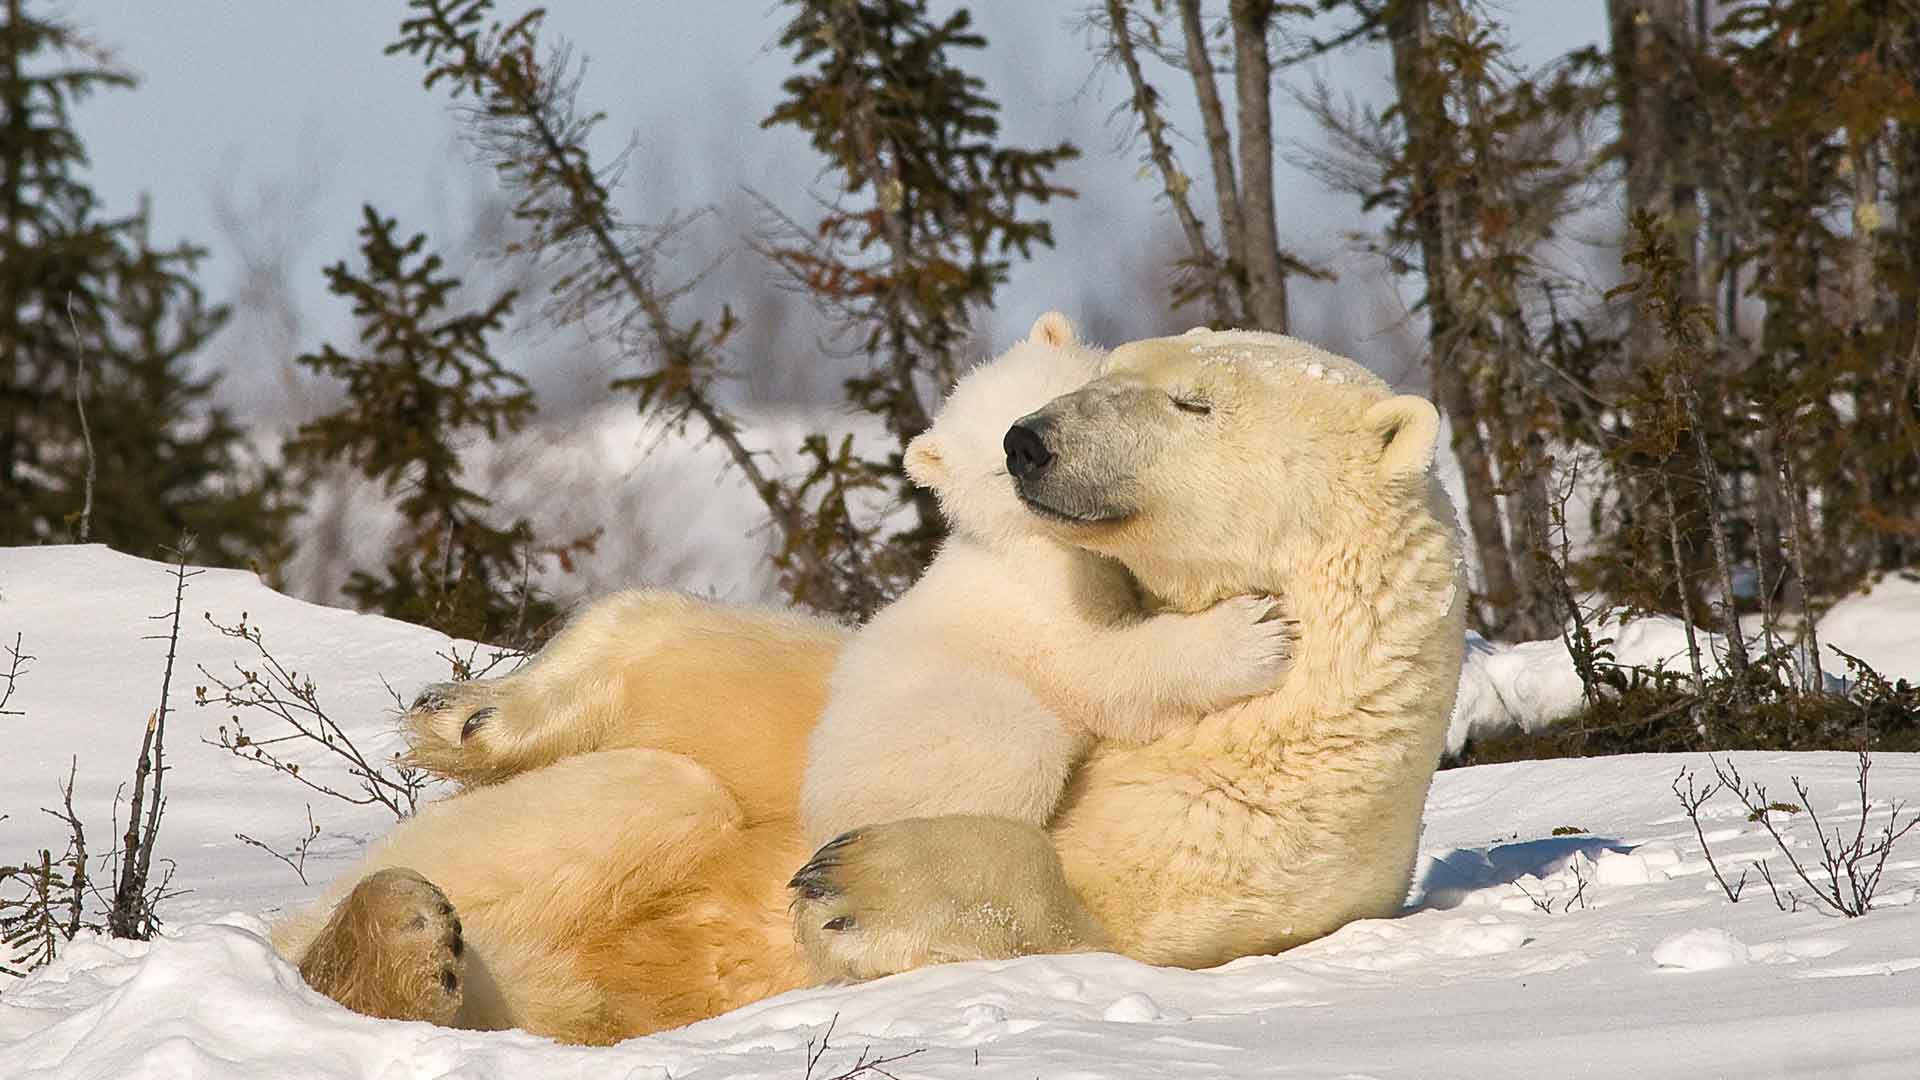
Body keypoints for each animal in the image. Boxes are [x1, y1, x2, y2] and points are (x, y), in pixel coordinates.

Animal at [794, 315, 1290, 845]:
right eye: (998, 467)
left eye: (1059, 400)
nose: (1025, 446)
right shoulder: (1042, 603)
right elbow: (1097, 671)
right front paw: (1252, 634)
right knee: (1018, 747)